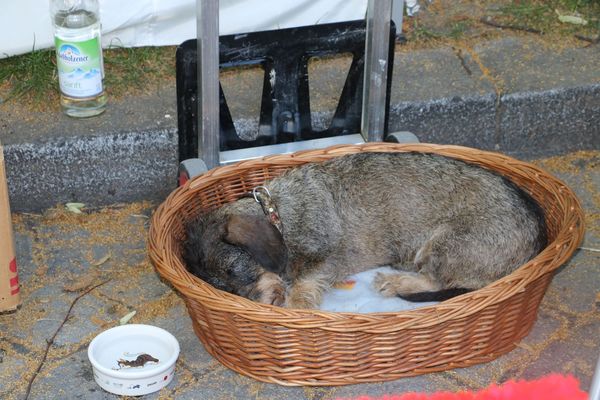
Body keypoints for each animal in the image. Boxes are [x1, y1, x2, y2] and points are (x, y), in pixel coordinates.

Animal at [182, 151, 544, 310]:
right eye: (224, 289)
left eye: (235, 268)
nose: (264, 305)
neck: (280, 214)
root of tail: (537, 234)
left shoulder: (328, 257)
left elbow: (305, 282)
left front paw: (298, 307)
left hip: (444, 244)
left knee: (437, 281)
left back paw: (395, 281)